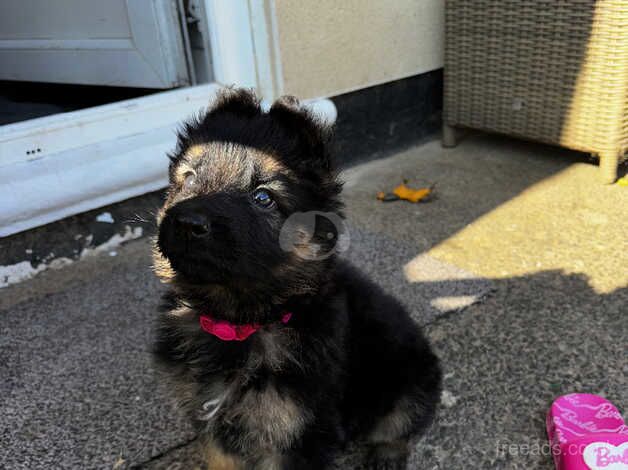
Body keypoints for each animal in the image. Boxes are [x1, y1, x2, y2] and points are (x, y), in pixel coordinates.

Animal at [151, 89, 440, 470]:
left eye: (263, 197)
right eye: (188, 178)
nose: (186, 223)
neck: (238, 324)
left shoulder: (297, 432)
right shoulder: (211, 421)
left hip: (410, 380)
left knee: (400, 424)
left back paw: (385, 455)